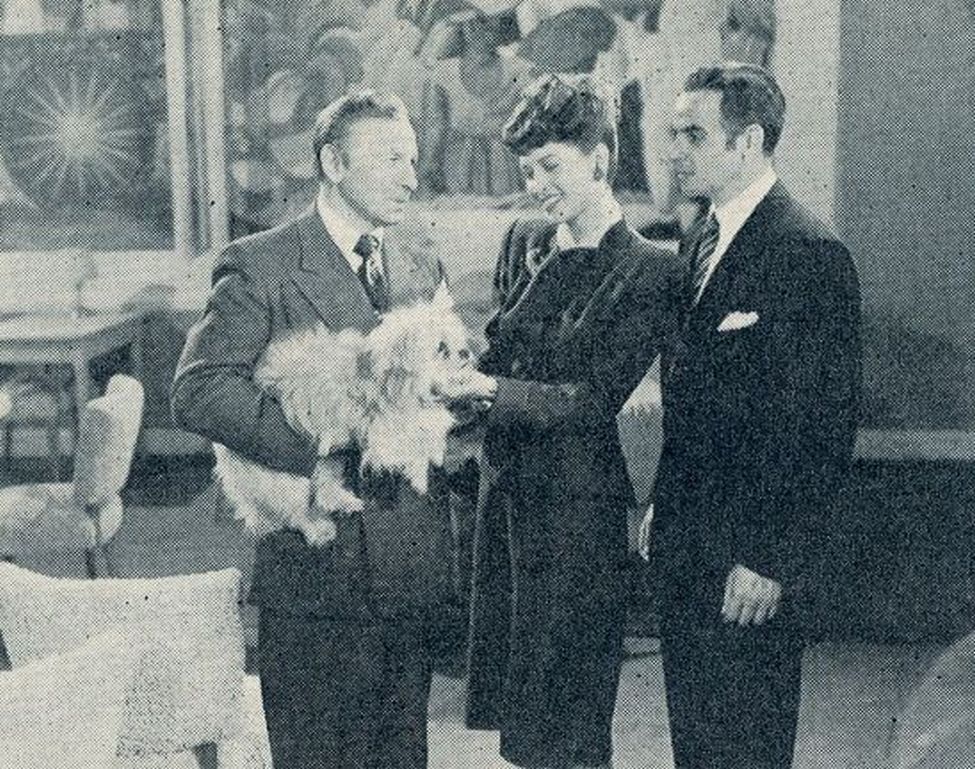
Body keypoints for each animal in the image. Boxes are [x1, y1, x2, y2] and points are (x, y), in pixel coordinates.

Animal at [214, 284, 472, 544]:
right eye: (441, 348)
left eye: (457, 340)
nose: (465, 352)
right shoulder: (383, 430)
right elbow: (416, 440)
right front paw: (422, 472)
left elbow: (429, 430)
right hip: (287, 476)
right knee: (298, 509)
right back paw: (319, 528)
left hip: (328, 461)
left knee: (323, 488)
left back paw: (346, 502)